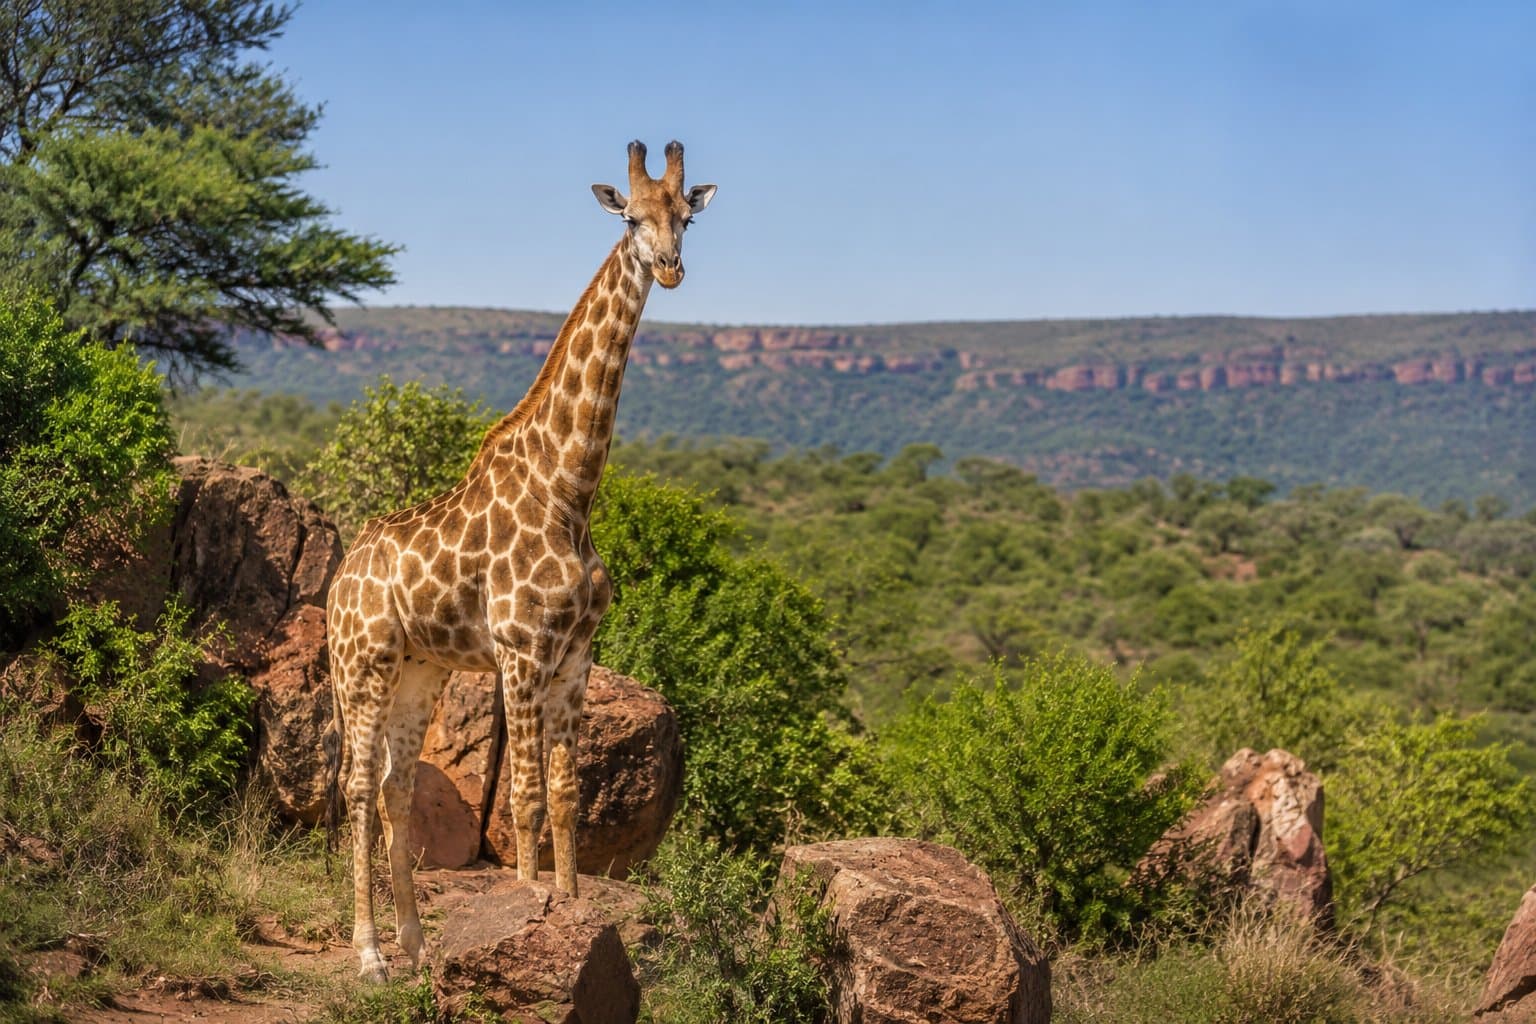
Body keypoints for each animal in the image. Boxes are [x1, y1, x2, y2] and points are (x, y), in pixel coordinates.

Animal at [324, 140, 715, 982]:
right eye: (631, 218)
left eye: (687, 217)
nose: (670, 268)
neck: (570, 489)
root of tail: (338, 580)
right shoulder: (521, 650)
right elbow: (525, 798)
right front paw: (529, 919)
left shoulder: (574, 656)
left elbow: (565, 797)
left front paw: (567, 916)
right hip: (361, 664)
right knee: (358, 785)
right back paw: (369, 954)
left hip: (420, 672)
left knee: (398, 788)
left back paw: (414, 944)